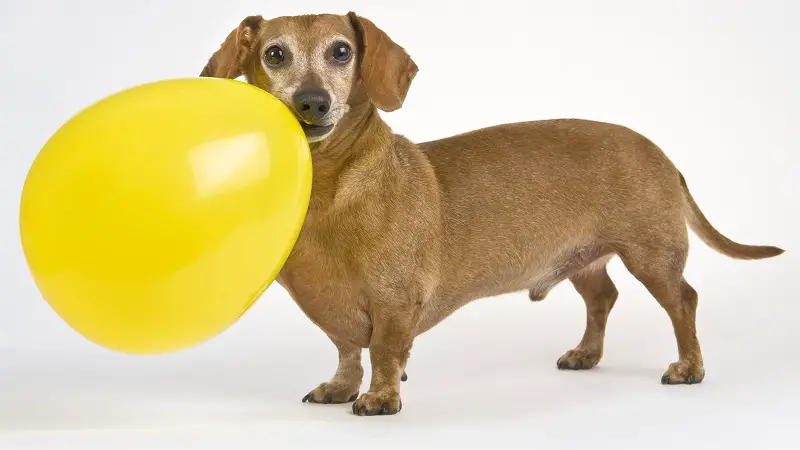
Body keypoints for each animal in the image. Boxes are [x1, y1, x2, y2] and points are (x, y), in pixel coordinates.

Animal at [198, 12, 780, 416]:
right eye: (275, 54)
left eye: (341, 51)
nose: (312, 103)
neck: (334, 189)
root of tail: (660, 153)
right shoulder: (333, 306)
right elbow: (347, 350)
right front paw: (342, 388)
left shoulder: (395, 300)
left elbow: (384, 349)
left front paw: (381, 397)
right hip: (585, 259)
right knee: (603, 298)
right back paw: (585, 354)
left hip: (652, 256)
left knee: (684, 301)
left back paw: (689, 367)